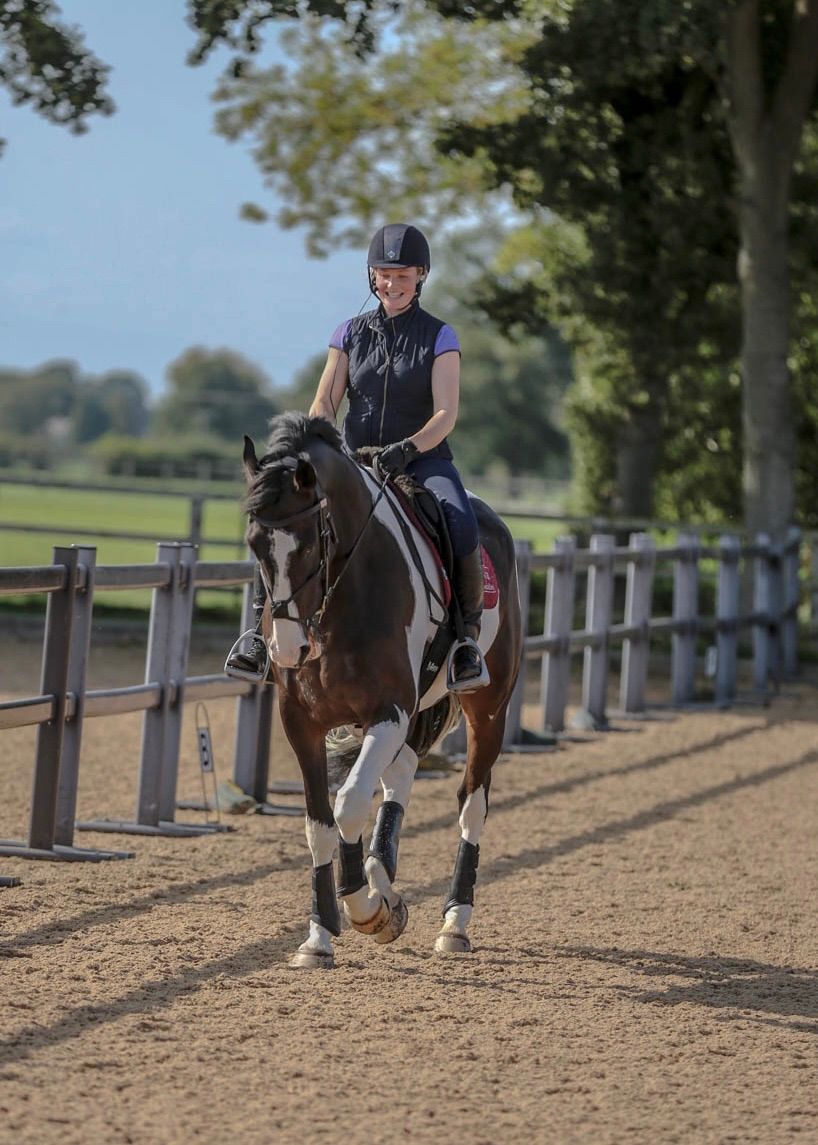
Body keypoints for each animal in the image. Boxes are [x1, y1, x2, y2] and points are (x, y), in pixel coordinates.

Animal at [241, 412, 520, 966]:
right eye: (254, 545)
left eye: (310, 541)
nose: (286, 648)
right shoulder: (301, 723)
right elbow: (320, 825)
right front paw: (320, 936)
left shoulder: (388, 711)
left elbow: (349, 803)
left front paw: (366, 909)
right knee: (401, 775)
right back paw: (382, 875)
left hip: (488, 711)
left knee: (471, 806)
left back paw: (454, 923)